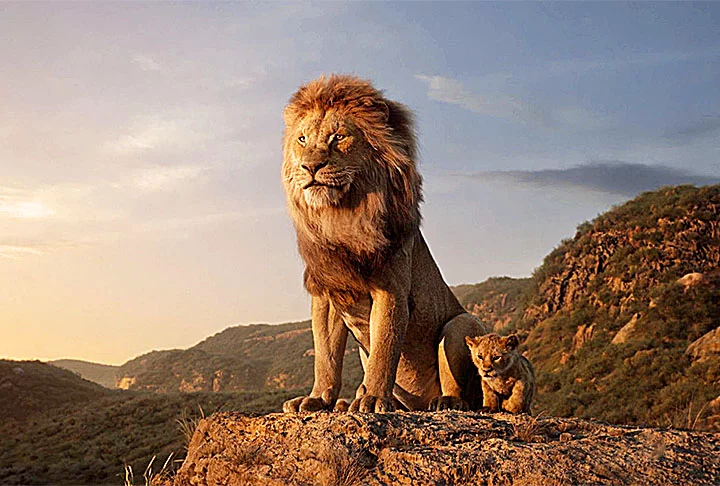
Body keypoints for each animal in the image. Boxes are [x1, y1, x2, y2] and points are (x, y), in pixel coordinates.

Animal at [281, 74, 488, 413]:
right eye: (302, 139)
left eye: (338, 137)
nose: (310, 167)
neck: (341, 217)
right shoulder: (327, 293)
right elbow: (325, 356)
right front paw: (318, 399)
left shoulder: (391, 289)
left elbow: (384, 348)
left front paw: (375, 398)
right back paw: (347, 402)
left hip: (461, 324)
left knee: (462, 391)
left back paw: (444, 402)